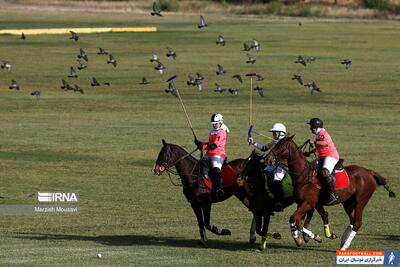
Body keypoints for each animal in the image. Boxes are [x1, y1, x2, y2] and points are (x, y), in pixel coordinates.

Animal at [264, 136, 396, 251]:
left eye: (281, 146)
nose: (267, 159)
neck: (303, 175)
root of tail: (370, 172)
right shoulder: (305, 203)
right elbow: (304, 221)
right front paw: (317, 237)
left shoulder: (309, 202)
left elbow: (295, 219)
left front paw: (299, 239)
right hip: (348, 202)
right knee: (352, 220)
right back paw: (343, 240)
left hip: (361, 200)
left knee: (357, 222)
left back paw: (344, 247)